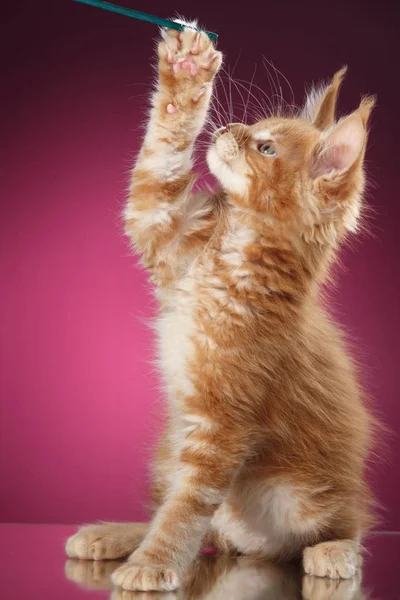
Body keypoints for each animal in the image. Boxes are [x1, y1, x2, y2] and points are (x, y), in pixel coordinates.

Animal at [65, 18, 376, 596]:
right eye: (255, 128)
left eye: (264, 146)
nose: (230, 124)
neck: (231, 252)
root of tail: (242, 540)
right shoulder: (163, 227)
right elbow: (159, 159)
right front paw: (187, 67)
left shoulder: (225, 420)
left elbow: (186, 508)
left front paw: (153, 563)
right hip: (170, 448)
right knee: (189, 516)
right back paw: (113, 535)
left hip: (305, 494)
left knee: (340, 523)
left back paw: (333, 552)